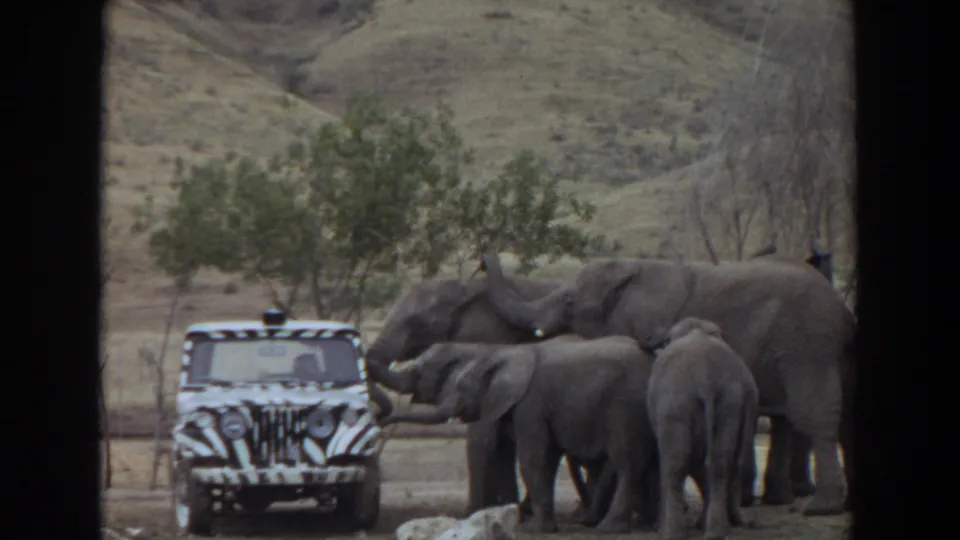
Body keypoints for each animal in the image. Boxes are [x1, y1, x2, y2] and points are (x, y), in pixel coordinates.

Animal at [361, 275, 601, 517]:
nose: (379, 418)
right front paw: (503, 507)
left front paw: (480, 510)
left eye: (421, 323)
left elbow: (481, 433)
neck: (469, 286)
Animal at [381, 336, 660, 533]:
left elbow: (532, 457)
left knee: (626, 462)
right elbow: (546, 459)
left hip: (624, 406)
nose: (381, 420)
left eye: (462, 387)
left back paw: (609, 527)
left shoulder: (530, 403)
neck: (502, 353)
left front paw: (534, 529)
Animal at [478, 251, 855, 517]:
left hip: (806, 342)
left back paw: (817, 508)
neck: (634, 272)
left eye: (569, 301)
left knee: (814, 416)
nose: (484, 258)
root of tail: (840, 307)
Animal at [643, 317, 759, 540]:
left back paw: (672, 533)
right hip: (729, 402)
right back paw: (716, 532)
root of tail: (706, 380)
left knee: (675, 464)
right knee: (720, 463)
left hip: (675, 404)